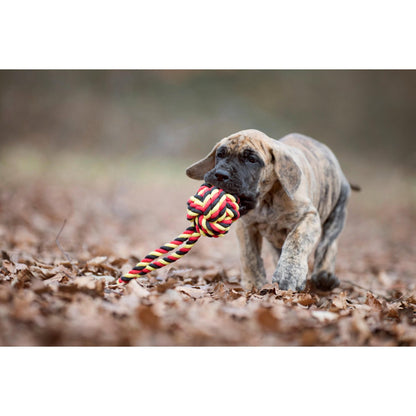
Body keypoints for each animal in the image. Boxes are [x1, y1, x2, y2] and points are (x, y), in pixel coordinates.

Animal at [187, 128, 352, 290]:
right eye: (220, 154)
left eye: (251, 159)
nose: (221, 174)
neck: (267, 200)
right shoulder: (246, 226)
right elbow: (249, 256)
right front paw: (253, 284)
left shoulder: (308, 216)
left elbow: (296, 242)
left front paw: (288, 275)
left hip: (336, 213)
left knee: (327, 245)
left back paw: (325, 276)